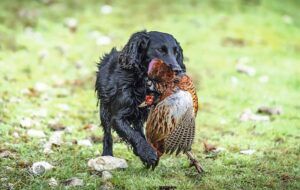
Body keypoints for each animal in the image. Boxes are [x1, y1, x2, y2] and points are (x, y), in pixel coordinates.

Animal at [95, 30, 185, 166]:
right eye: (160, 50)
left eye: (176, 52)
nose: (178, 70)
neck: (143, 80)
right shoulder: (117, 117)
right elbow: (132, 134)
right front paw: (147, 153)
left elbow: (137, 133)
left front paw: (145, 152)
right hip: (104, 110)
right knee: (107, 135)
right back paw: (107, 154)